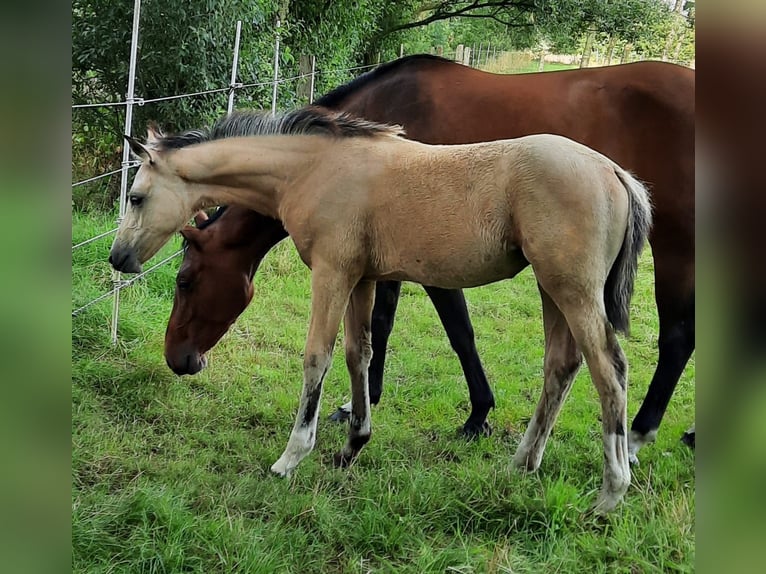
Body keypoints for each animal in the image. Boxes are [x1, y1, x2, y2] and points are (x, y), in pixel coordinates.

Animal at [108, 108, 652, 512]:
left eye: (136, 197)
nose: (117, 258)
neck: (313, 168)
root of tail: (617, 173)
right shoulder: (363, 277)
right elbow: (359, 354)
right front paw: (353, 445)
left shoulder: (331, 272)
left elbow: (317, 358)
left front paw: (291, 458)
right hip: (550, 288)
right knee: (561, 366)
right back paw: (522, 464)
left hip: (574, 290)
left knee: (610, 370)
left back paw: (610, 493)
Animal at [162, 56, 696, 462]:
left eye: (185, 281)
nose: (177, 359)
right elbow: (383, 328)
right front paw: (368, 405)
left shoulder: (425, 264)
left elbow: (448, 330)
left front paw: (472, 413)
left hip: (674, 249)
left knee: (675, 339)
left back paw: (639, 437)